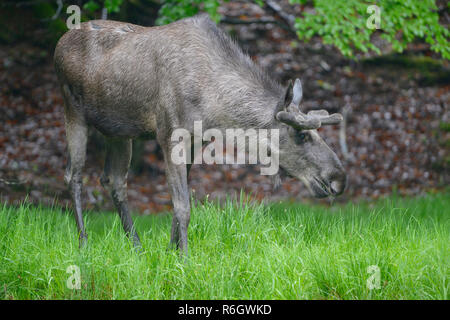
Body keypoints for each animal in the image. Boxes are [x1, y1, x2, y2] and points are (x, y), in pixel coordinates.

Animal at [54, 14, 346, 255]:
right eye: (301, 135)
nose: (339, 179)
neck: (215, 104)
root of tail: (59, 44)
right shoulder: (169, 135)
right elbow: (182, 206)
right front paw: (184, 259)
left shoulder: (197, 140)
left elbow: (178, 206)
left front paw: (170, 252)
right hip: (73, 109)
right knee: (73, 175)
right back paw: (84, 244)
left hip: (118, 131)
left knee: (113, 180)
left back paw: (137, 248)